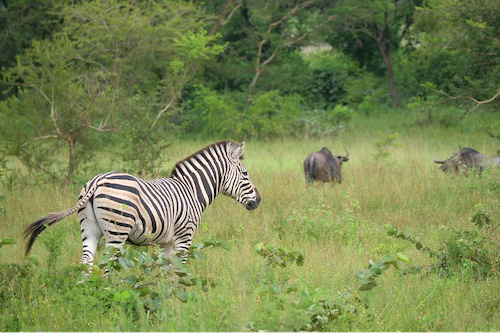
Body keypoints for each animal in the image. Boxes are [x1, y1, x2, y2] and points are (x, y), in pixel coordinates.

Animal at [22, 139, 262, 268]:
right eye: (245, 173)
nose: (258, 201)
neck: (191, 190)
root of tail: (97, 180)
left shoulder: (167, 242)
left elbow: (166, 271)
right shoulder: (184, 237)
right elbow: (180, 270)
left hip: (89, 229)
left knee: (86, 262)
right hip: (117, 231)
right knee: (106, 263)